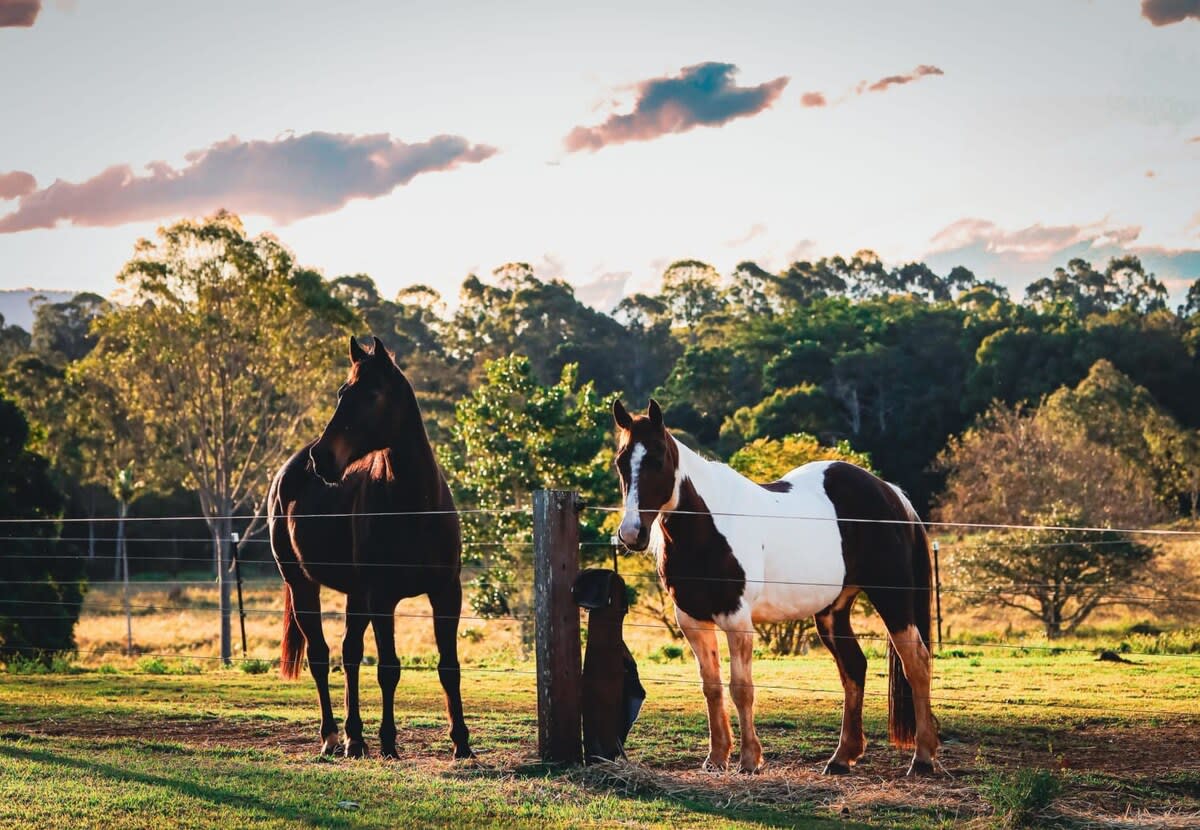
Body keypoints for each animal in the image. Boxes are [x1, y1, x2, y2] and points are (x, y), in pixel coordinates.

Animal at [270, 335, 470, 758]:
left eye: (372, 394)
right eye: (342, 392)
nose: (322, 457)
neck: (415, 506)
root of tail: (287, 471)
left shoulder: (446, 592)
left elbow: (449, 665)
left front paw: (462, 741)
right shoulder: (382, 598)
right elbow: (388, 668)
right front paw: (390, 742)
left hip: (354, 595)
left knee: (348, 654)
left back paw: (354, 738)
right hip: (302, 585)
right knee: (320, 655)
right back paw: (331, 736)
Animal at [614, 403, 940, 777]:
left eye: (656, 459)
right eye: (621, 462)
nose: (631, 533)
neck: (707, 526)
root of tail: (891, 493)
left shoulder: (736, 619)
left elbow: (740, 688)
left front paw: (749, 760)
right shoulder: (692, 620)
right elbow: (711, 686)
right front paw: (716, 758)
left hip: (893, 600)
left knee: (916, 663)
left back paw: (923, 758)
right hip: (833, 611)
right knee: (854, 667)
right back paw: (842, 757)